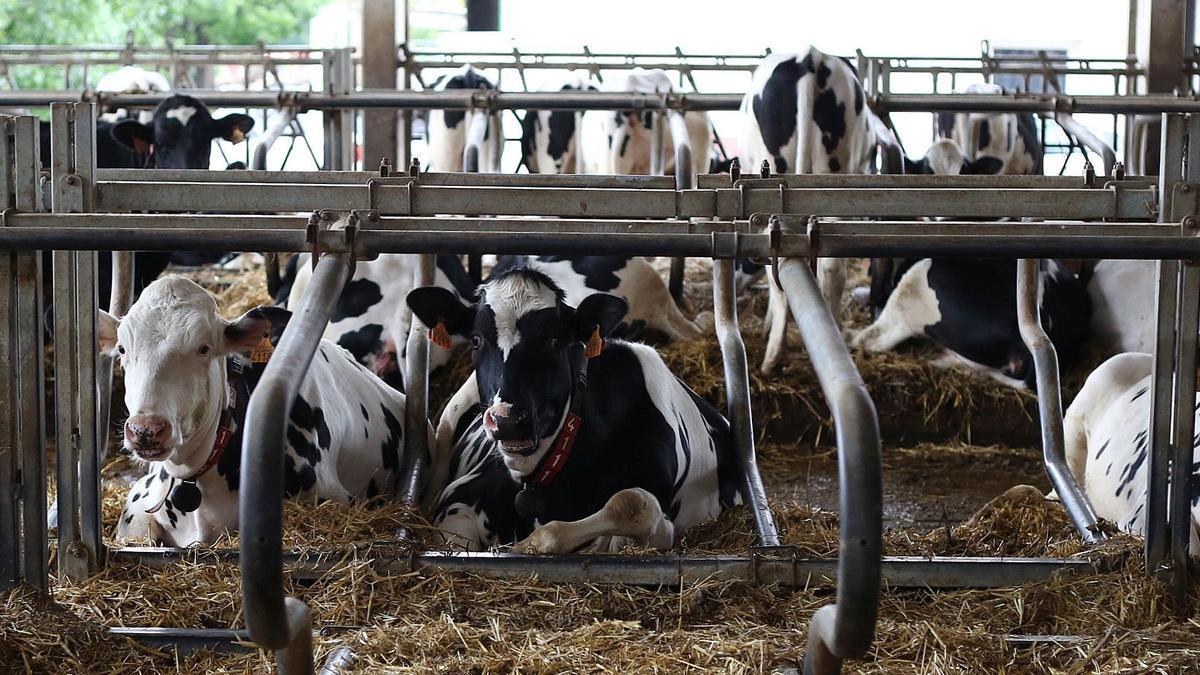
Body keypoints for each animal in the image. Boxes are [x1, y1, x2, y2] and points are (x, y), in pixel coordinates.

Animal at [738, 46, 902, 373]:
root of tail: (809, 58)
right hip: (837, 179)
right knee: (832, 265)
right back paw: (835, 328)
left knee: (778, 264)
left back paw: (773, 356)